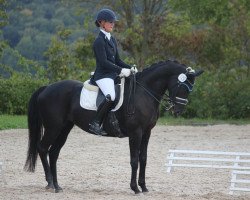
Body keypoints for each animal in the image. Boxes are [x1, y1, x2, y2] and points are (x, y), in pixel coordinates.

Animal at [23, 59, 203, 194]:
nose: (178, 110)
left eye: (190, 88)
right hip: (53, 127)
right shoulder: (136, 133)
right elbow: (134, 160)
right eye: (182, 86)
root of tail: (47, 88)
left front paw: (144, 187)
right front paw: (135, 188)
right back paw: (50, 183)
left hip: (65, 128)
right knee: (42, 148)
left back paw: (57, 185)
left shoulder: (146, 132)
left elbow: (143, 159)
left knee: (53, 152)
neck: (144, 93)